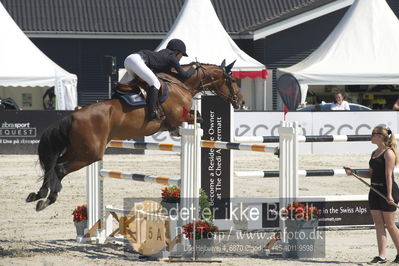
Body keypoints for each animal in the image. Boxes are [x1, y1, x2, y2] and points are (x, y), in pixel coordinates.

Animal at [26, 60, 245, 212]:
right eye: (233, 80)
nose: (241, 102)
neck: (181, 84)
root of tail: (73, 115)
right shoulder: (178, 116)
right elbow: (197, 118)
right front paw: (178, 130)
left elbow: (196, 118)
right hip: (91, 153)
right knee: (60, 168)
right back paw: (47, 199)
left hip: (79, 149)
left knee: (53, 165)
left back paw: (38, 195)